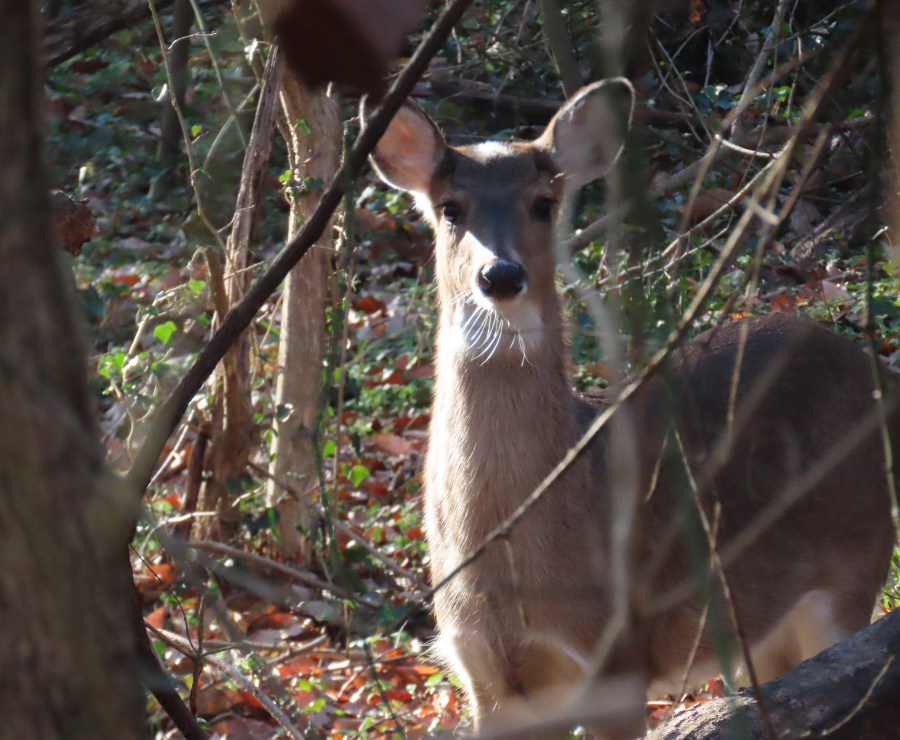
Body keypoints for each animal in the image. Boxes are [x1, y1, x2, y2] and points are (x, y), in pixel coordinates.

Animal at [366, 80, 897, 734]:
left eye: (543, 203)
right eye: (450, 208)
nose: (502, 274)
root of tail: (882, 373)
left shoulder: (614, 659)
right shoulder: (486, 675)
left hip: (855, 562)